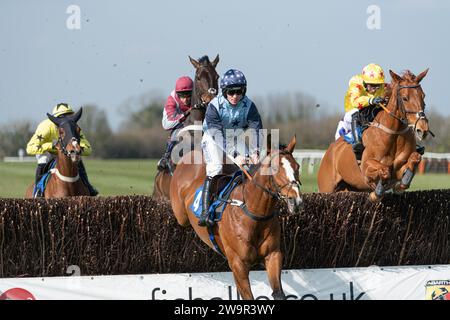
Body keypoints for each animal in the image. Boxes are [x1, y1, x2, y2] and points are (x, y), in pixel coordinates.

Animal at [169, 136, 302, 300]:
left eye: (297, 167)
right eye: (275, 168)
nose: (296, 201)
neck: (254, 214)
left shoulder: (273, 255)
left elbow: (278, 293)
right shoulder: (238, 263)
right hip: (180, 214)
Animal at [318, 69, 430, 200]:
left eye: (423, 96)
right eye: (405, 98)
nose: (423, 128)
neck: (394, 134)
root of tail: (331, 149)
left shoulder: (399, 169)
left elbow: (415, 158)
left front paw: (400, 186)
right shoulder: (366, 168)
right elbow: (384, 170)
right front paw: (376, 192)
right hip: (326, 187)